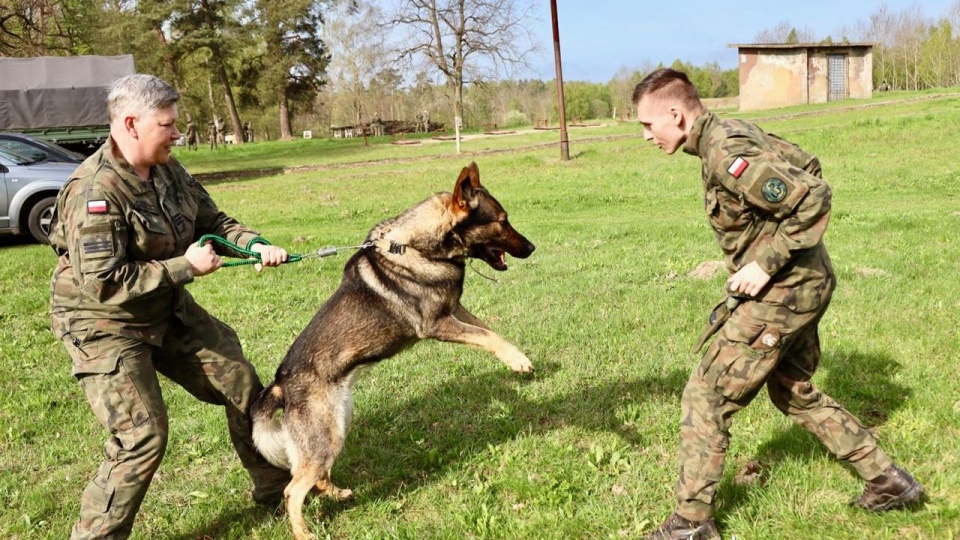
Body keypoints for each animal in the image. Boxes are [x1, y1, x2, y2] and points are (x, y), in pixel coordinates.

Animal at [251, 162, 536, 536]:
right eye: (503, 220)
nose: (532, 248)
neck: (417, 246)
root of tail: (281, 384)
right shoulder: (436, 324)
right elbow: (487, 337)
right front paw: (519, 361)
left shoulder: (454, 310)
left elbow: (488, 330)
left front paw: (516, 355)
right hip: (325, 436)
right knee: (292, 489)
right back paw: (304, 532)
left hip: (336, 427)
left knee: (313, 475)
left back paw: (339, 493)